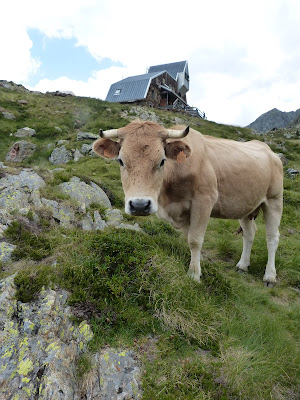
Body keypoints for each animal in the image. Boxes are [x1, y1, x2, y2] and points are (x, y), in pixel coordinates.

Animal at [92, 120, 284, 286]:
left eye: (162, 160)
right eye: (121, 160)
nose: (139, 205)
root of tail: (268, 150)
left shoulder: (204, 201)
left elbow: (195, 240)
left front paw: (194, 274)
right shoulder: (182, 212)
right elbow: (188, 238)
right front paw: (196, 266)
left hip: (274, 200)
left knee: (272, 237)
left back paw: (269, 276)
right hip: (246, 206)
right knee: (249, 233)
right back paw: (243, 265)